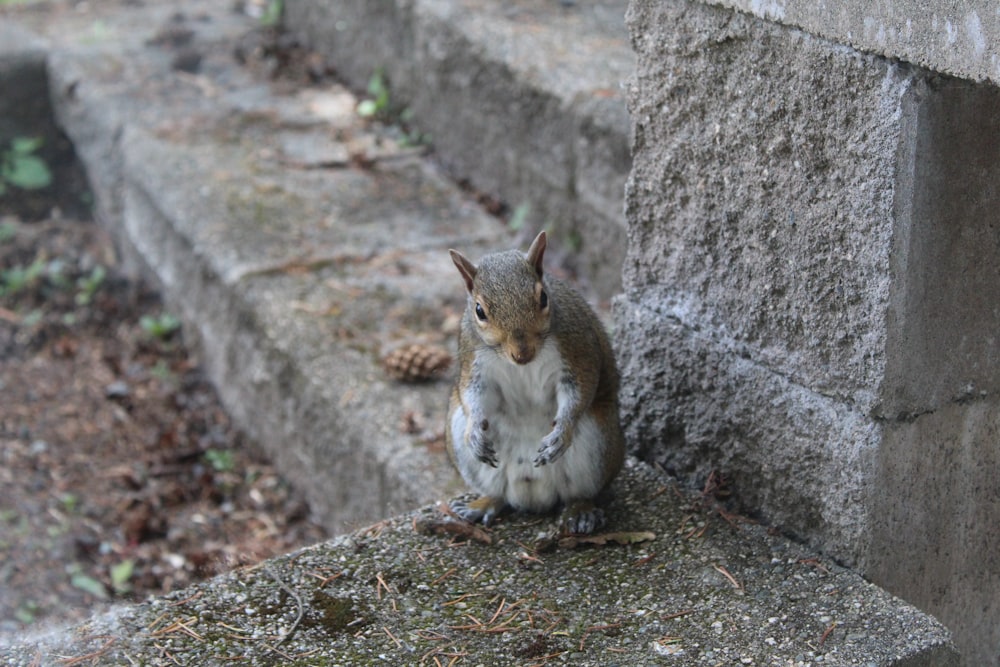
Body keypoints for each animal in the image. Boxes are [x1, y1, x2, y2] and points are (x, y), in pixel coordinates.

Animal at [448, 232, 624, 536]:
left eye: (543, 297)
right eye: (479, 310)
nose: (522, 353)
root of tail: (533, 495)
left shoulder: (577, 350)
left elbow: (579, 391)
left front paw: (561, 432)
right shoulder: (473, 360)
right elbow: (473, 394)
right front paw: (475, 433)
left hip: (598, 441)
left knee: (579, 492)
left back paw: (580, 511)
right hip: (462, 443)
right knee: (499, 493)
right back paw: (481, 504)